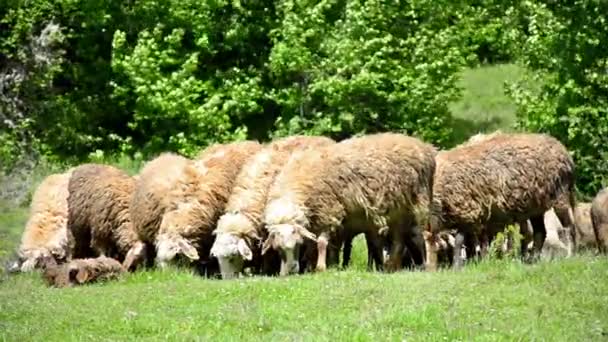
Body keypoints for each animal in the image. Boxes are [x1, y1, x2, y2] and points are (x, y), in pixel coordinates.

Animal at [262, 132, 436, 276]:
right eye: (278, 249)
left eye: (298, 244)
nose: (290, 271)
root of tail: (425, 148)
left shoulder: (328, 211)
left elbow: (322, 242)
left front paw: (321, 268)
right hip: (399, 212)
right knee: (399, 241)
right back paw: (391, 266)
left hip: (419, 204)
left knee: (424, 236)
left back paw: (427, 266)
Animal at [426, 131, 576, 270]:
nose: (429, 269)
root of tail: (565, 152)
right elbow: (472, 243)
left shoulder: (468, 212)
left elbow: (460, 242)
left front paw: (459, 266)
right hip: (536, 207)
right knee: (540, 232)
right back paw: (532, 259)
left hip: (560, 195)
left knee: (569, 226)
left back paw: (570, 256)